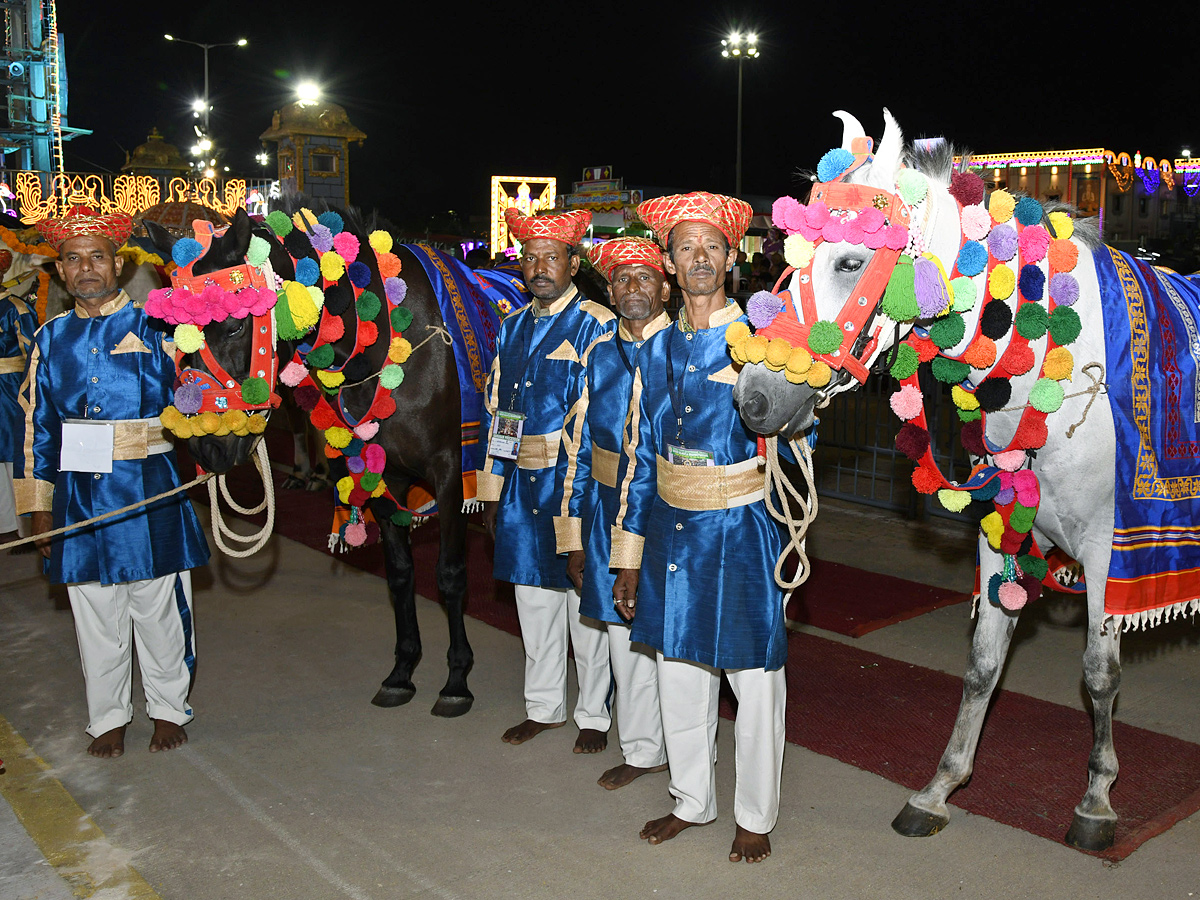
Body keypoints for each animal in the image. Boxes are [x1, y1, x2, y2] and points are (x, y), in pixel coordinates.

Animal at [729, 111, 1200, 854]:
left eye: (851, 261)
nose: (755, 398)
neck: (1055, 368)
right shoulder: (999, 530)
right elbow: (982, 664)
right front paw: (940, 788)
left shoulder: (1111, 554)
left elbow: (1100, 676)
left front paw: (1097, 799)